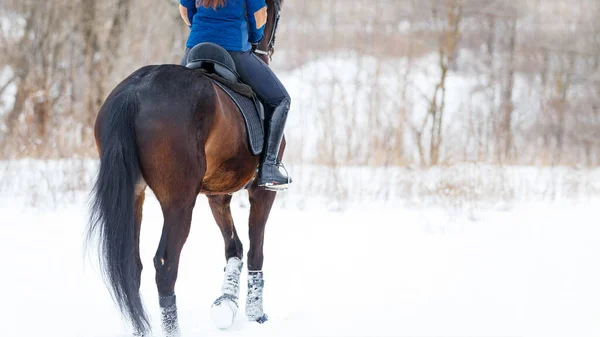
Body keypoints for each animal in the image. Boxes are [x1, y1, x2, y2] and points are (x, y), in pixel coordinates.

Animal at [85, 1, 288, 334]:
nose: (266, 46)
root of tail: (134, 92)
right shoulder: (261, 191)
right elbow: (255, 250)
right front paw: (255, 312)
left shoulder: (217, 194)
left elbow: (233, 247)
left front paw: (225, 304)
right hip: (179, 201)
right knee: (166, 264)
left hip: (134, 194)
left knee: (132, 264)